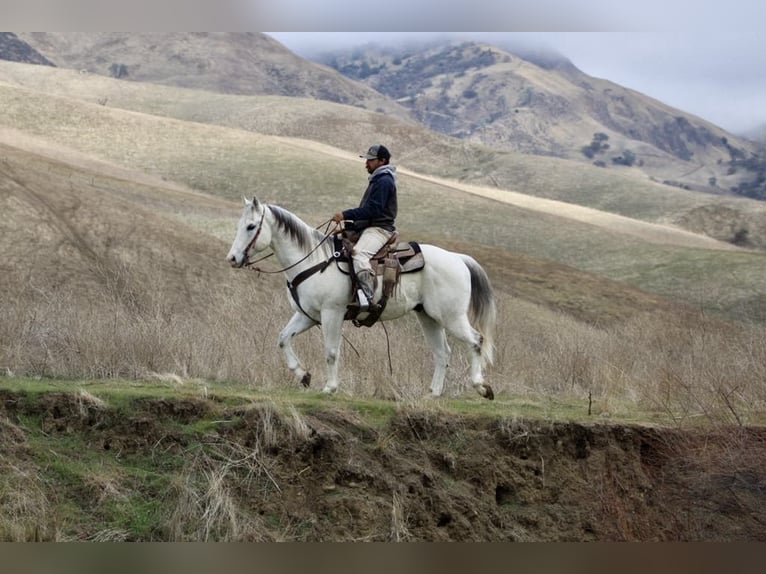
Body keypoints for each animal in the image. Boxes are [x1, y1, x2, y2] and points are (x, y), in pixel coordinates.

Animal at [226, 198, 498, 400]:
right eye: (240, 225)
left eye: (251, 226)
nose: (232, 259)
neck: (312, 260)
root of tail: (458, 258)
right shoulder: (308, 316)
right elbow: (283, 339)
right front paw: (303, 375)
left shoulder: (332, 313)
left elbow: (331, 351)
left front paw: (330, 387)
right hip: (428, 317)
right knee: (443, 353)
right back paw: (433, 394)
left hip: (451, 317)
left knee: (476, 341)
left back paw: (482, 387)